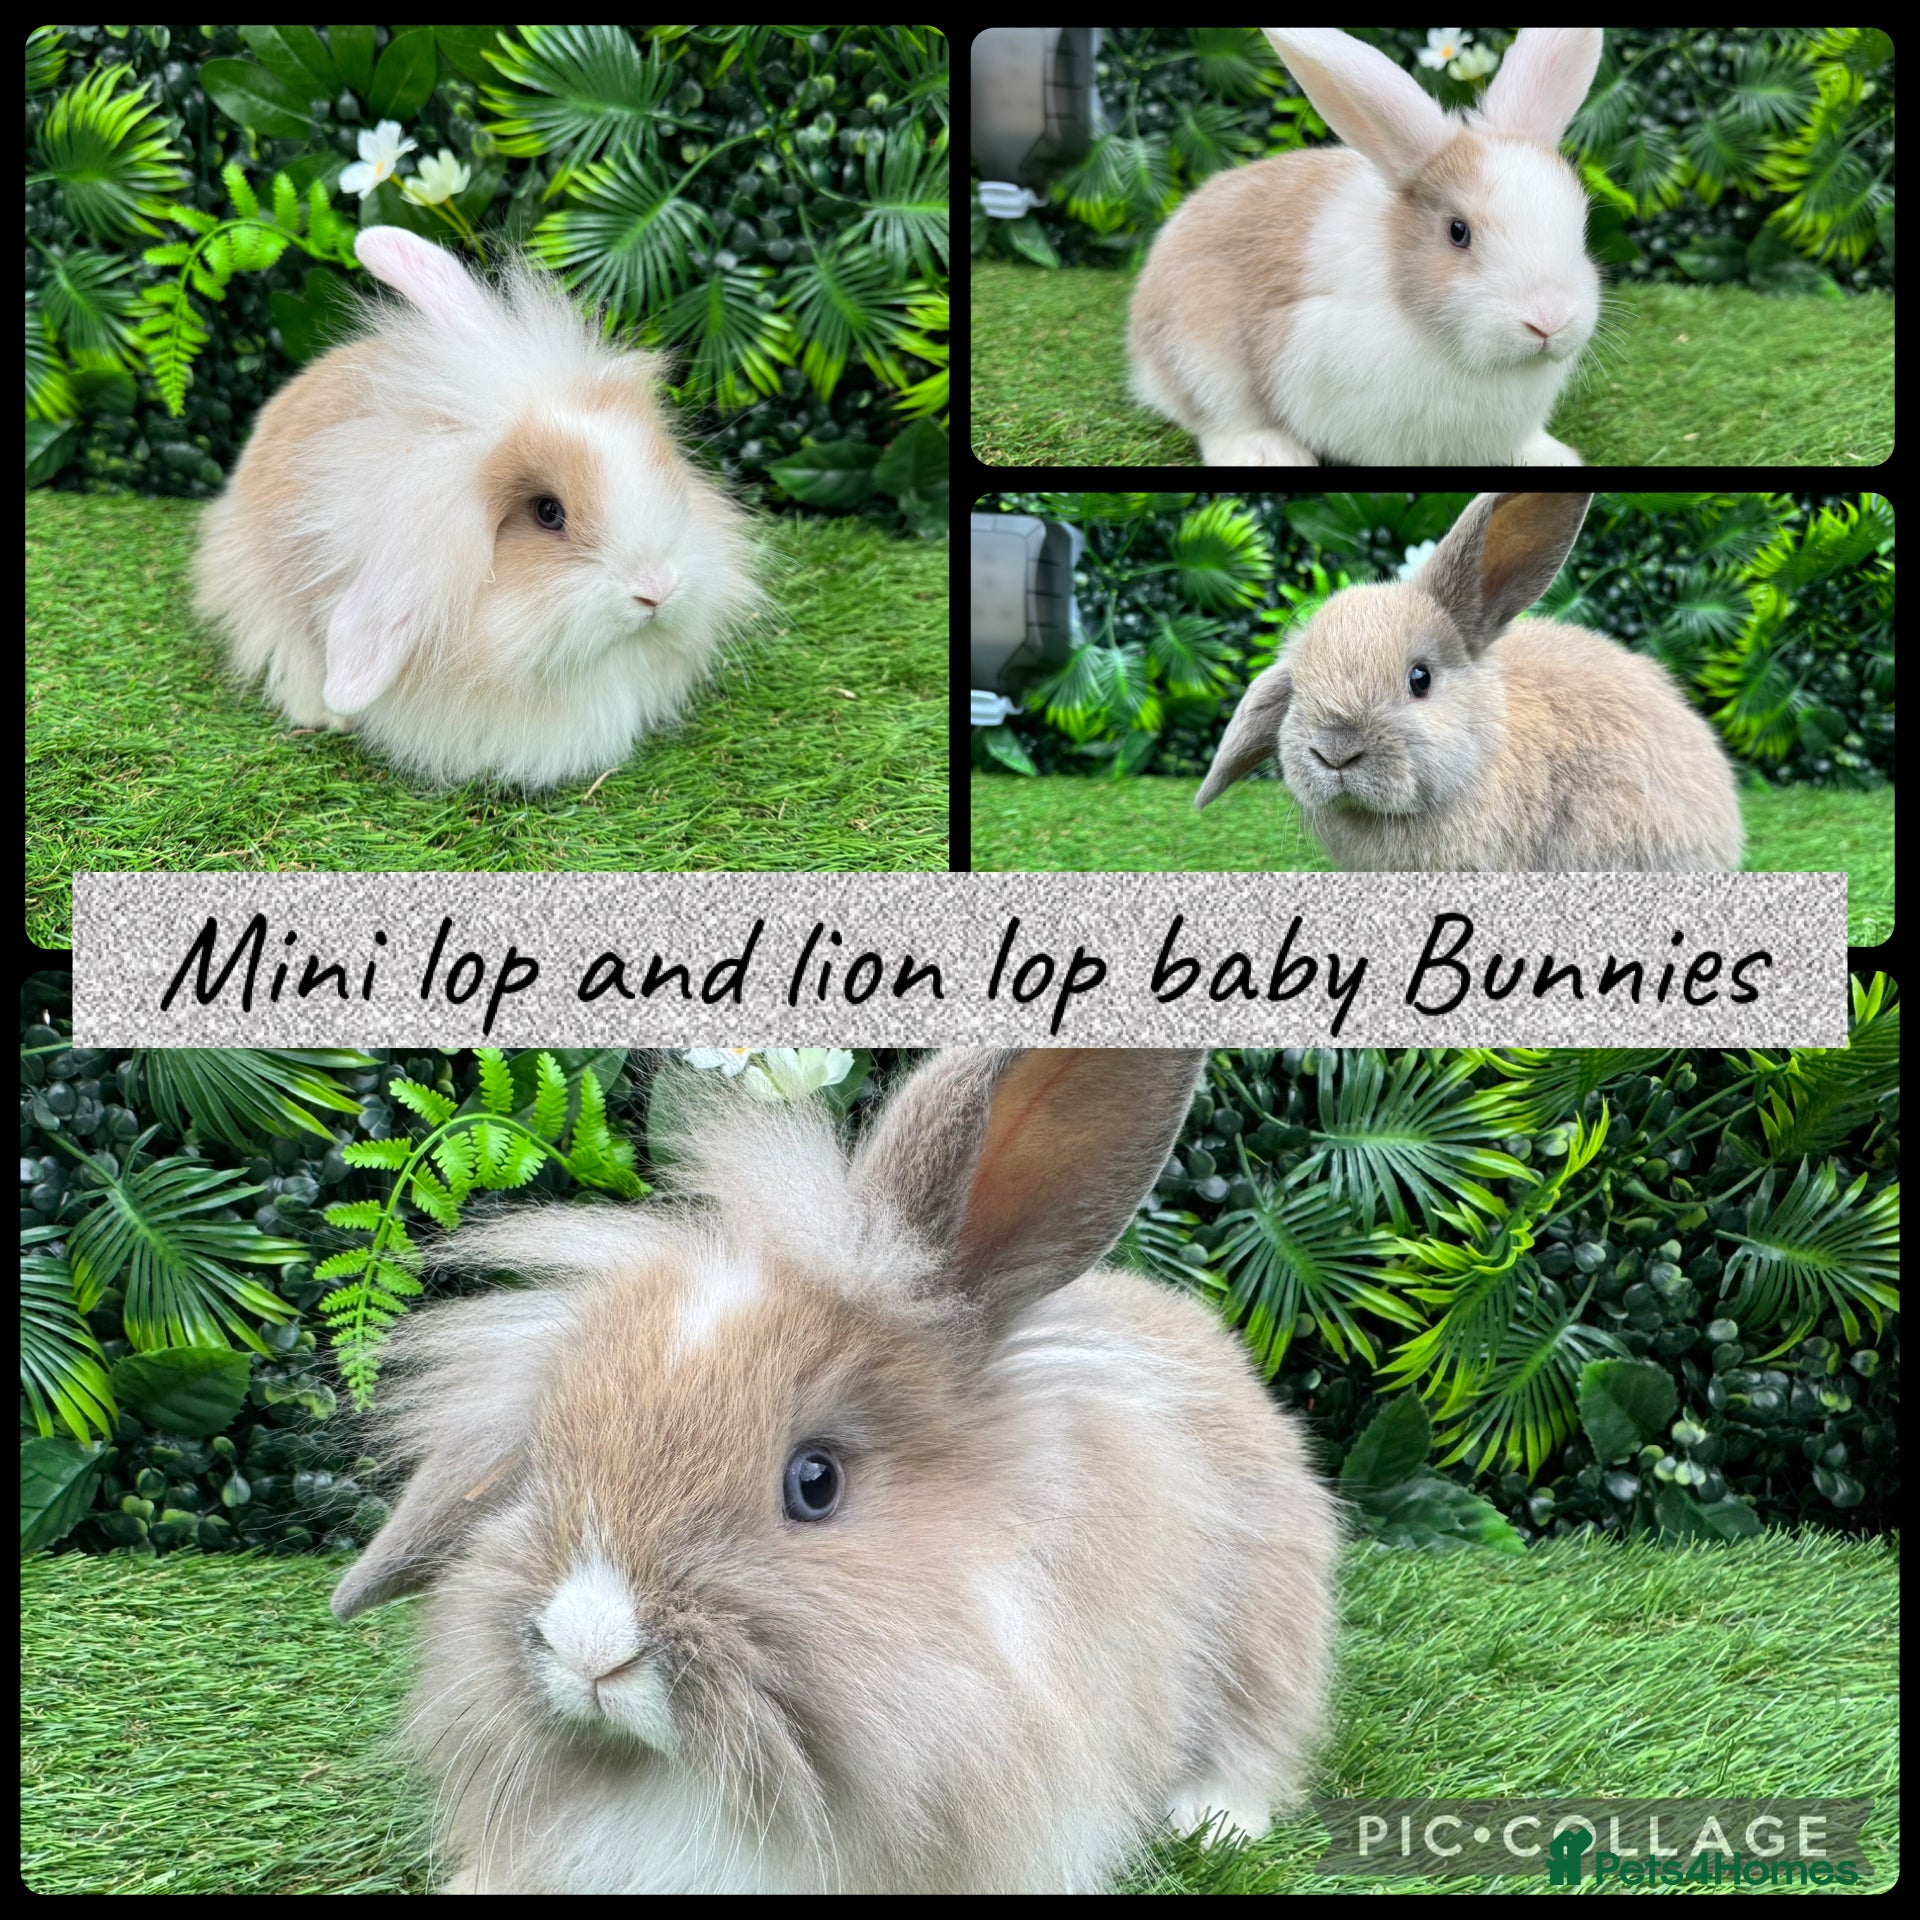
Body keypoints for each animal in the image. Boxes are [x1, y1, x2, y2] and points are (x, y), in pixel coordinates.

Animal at [1128, 28, 1604, 467]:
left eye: (1579, 223)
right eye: (1458, 231)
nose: (1549, 320)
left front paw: (1552, 455)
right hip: (1201, 353)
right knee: (1218, 417)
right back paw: (1267, 453)